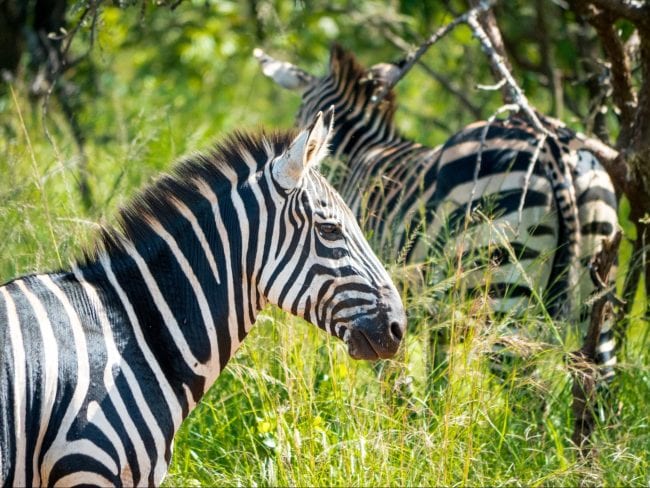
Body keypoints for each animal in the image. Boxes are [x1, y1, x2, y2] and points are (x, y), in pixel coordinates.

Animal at [254, 44, 616, 382]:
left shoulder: (372, 304)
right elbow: (438, 378)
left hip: (502, 281)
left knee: (524, 384)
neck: (360, 153)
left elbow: (394, 380)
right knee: (599, 377)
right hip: (596, 288)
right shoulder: (437, 318)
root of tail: (550, 142)